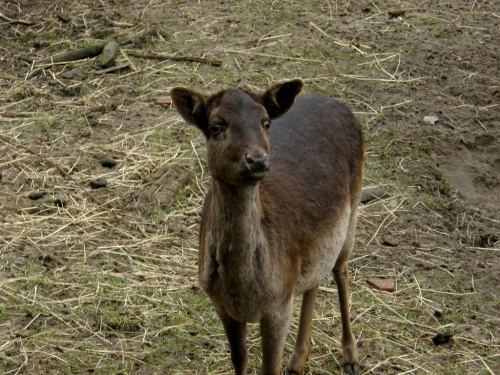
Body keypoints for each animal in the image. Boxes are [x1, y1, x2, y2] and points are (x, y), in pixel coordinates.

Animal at [171, 80, 364, 375]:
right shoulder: (221, 305)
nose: (257, 161)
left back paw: (350, 357)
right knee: (315, 279)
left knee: (341, 269)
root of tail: (336, 102)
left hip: (353, 207)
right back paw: (297, 362)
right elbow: (240, 360)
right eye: (216, 126)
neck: (242, 290)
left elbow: (269, 367)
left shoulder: (279, 306)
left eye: (265, 122)